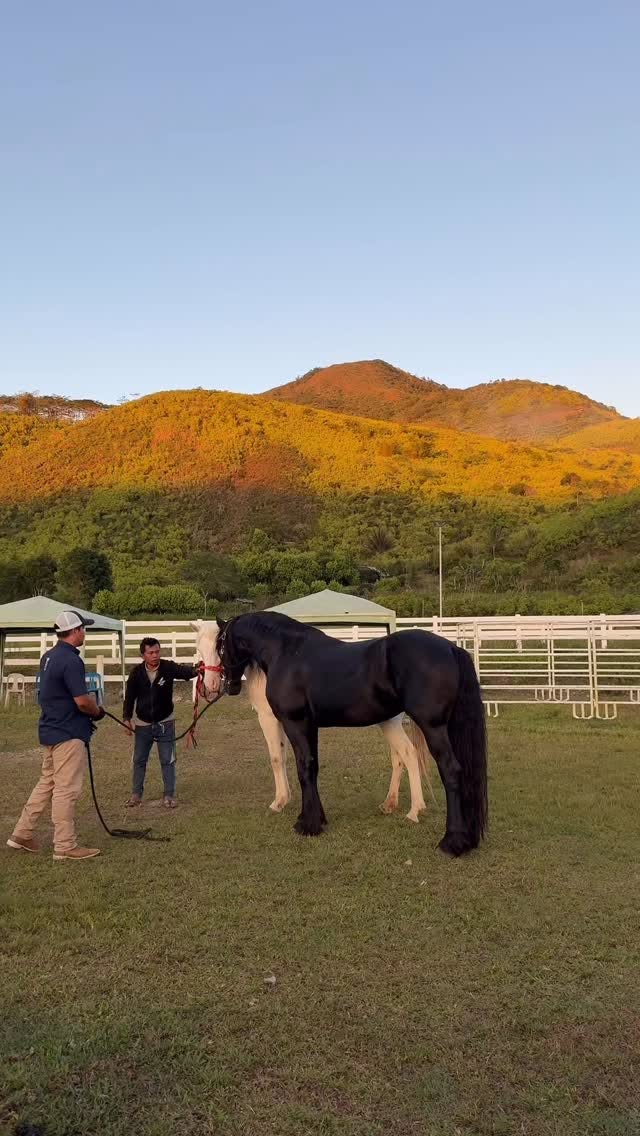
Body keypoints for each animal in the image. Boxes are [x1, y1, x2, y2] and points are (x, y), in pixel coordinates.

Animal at [195, 613, 488, 856]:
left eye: (219, 646)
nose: (221, 685)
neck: (286, 652)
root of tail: (450, 647)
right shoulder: (308, 726)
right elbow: (311, 768)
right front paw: (315, 818)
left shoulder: (294, 723)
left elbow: (302, 767)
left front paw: (306, 824)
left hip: (433, 727)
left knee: (449, 770)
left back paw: (451, 841)